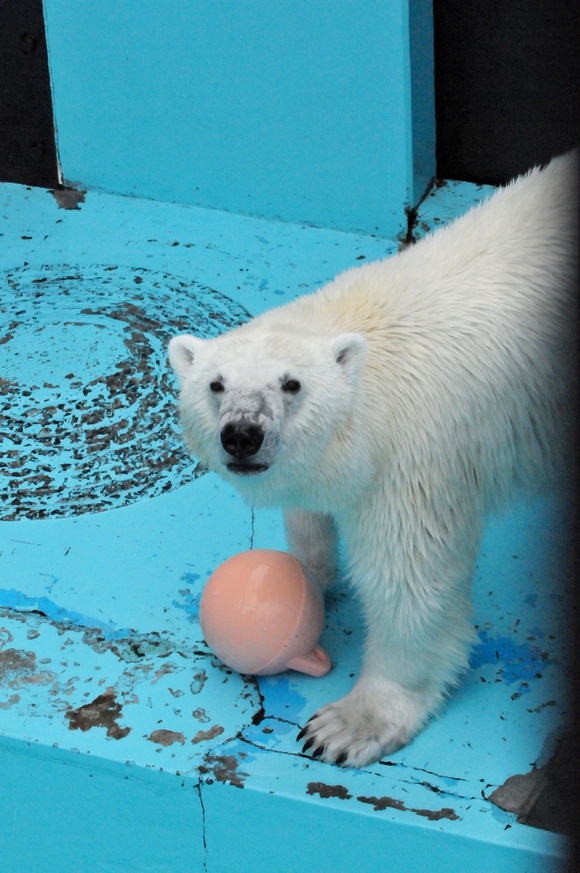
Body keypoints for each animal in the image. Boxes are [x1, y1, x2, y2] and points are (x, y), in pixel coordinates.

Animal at [168, 153, 576, 768]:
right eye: (215, 384)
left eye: (291, 384)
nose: (242, 435)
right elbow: (311, 515)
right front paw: (312, 571)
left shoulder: (416, 461)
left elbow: (409, 585)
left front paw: (347, 724)